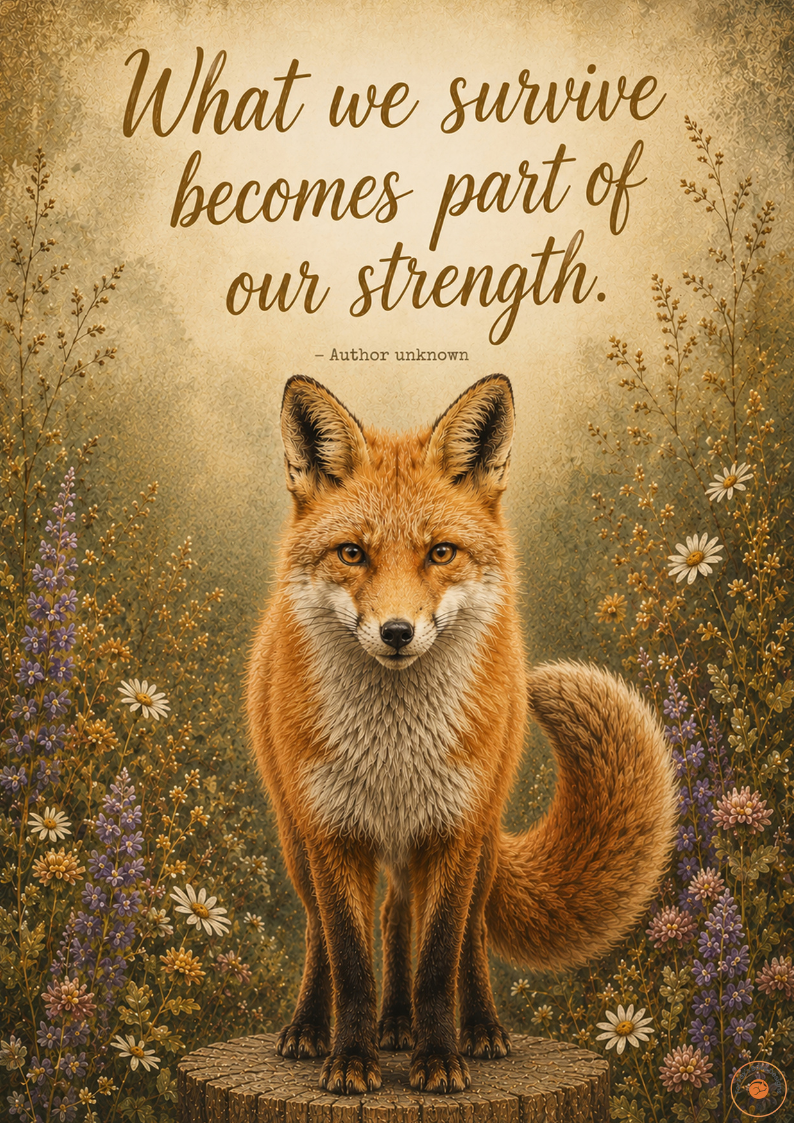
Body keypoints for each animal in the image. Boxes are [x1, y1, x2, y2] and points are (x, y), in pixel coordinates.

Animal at [246, 374, 677, 1096]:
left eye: (440, 552)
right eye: (353, 553)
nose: (396, 631)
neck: (394, 752)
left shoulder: (453, 831)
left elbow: (437, 961)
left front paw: (440, 1060)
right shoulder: (333, 833)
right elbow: (351, 963)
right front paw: (352, 1062)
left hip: (475, 843)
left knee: (449, 934)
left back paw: (466, 1030)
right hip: (297, 840)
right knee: (330, 935)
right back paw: (320, 1029)